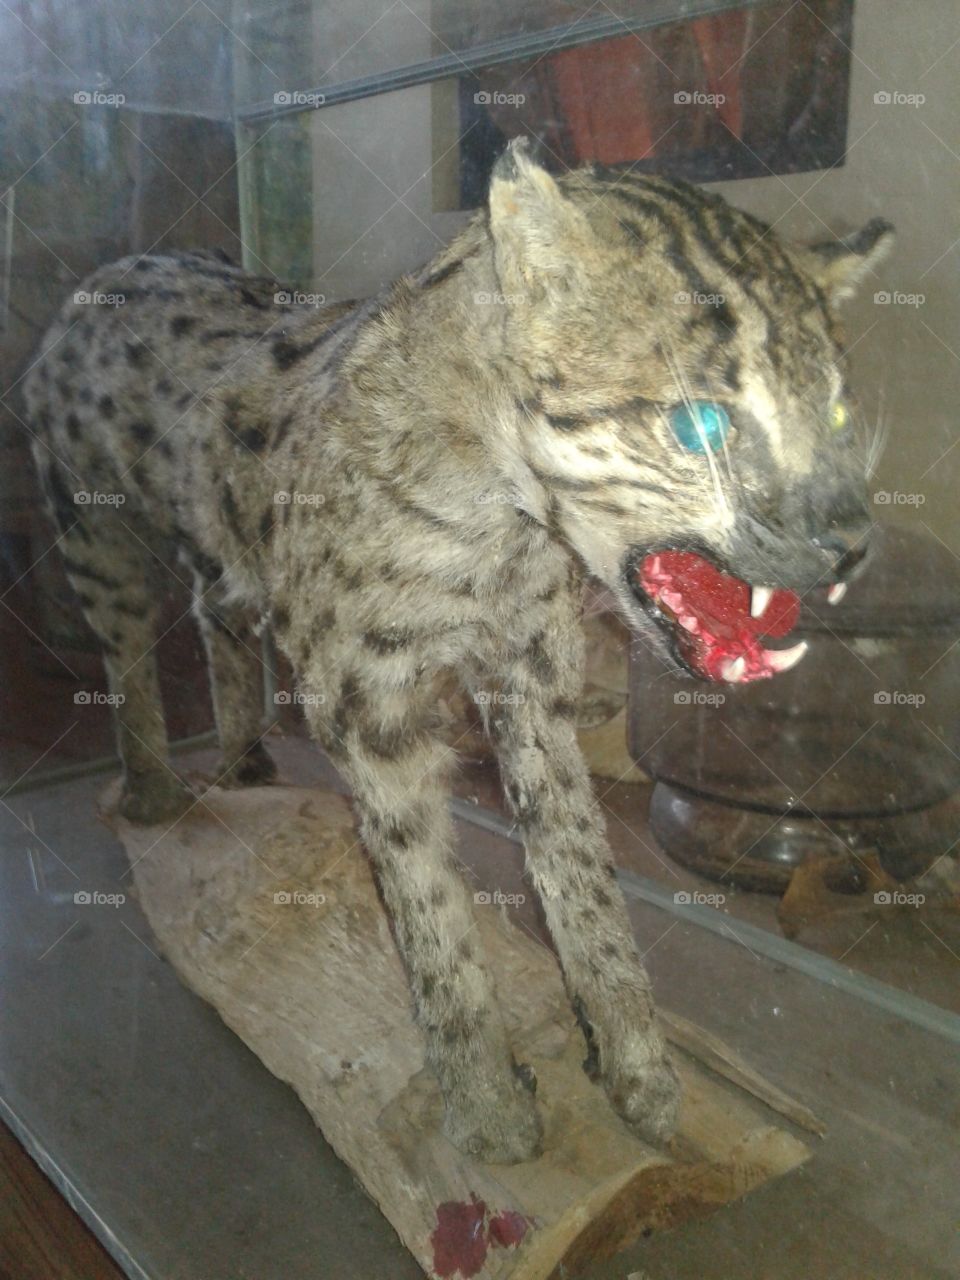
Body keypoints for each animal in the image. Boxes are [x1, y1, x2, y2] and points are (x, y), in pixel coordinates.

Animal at [23, 138, 893, 1163]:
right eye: (701, 427)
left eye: (837, 417)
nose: (851, 542)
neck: (493, 527)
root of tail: (114, 266)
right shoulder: (368, 704)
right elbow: (427, 899)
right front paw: (485, 1106)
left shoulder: (533, 683)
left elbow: (581, 870)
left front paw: (635, 1069)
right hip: (94, 538)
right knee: (126, 651)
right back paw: (156, 789)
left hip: (212, 536)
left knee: (213, 607)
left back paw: (240, 760)